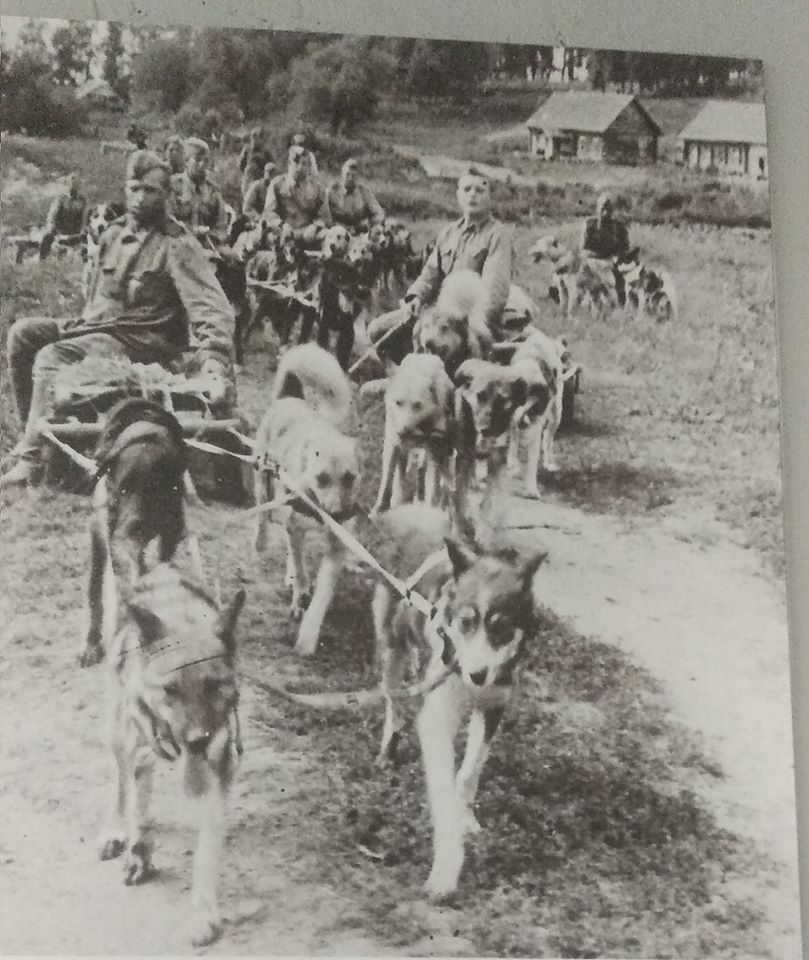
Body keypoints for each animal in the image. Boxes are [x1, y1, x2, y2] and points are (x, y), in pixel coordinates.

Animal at [96, 564, 245, 944]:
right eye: (170, 690)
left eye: (213, 686)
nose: (196, 742)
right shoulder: (140, 749)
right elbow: (139, 812)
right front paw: (138, 853)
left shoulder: (218, 770)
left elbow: (206, 853)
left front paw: (203, 913)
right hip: (119, 731)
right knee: (120, 780)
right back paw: (115, 829)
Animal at [252, 342, 360, 656]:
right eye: (321, 478)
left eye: (350, 478)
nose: (338, 514)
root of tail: (291, 396)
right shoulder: (294, 525)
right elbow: (301, 569)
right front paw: (300, 595)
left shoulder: (336, 546)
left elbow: (322, 595)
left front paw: (309, 635)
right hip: (262, 482)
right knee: (263, 518)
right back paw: (260, 542)